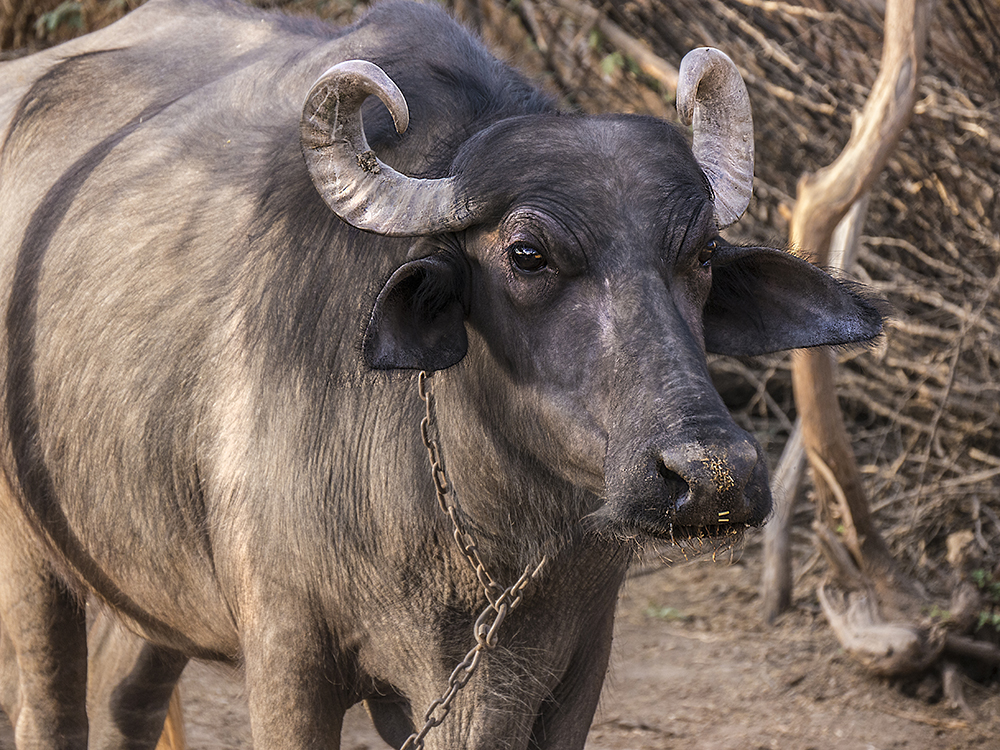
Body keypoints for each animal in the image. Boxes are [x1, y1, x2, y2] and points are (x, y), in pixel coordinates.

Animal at [0, 0, 884, 748]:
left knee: (128, 701)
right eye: (527, 253)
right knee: (53, 710)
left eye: (701, 253)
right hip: (30, 555)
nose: (712, 478)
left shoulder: (564, 669)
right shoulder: (290, 659)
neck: (486, 530)